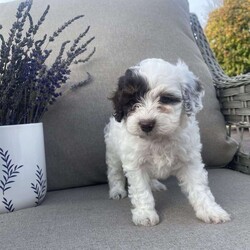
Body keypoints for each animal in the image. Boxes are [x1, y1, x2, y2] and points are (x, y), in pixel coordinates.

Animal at [104, 58, 230, 227]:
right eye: (132, 101)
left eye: (165, 98)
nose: (146, 124)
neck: (158, 139)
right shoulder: (135, 164)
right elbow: (141, 190)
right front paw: (145, 214)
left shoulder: (190, 161)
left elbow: (199, 187)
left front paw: (210, 211)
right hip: (113, 152)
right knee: (115, 172)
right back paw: (117, 190)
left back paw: (155, 184)